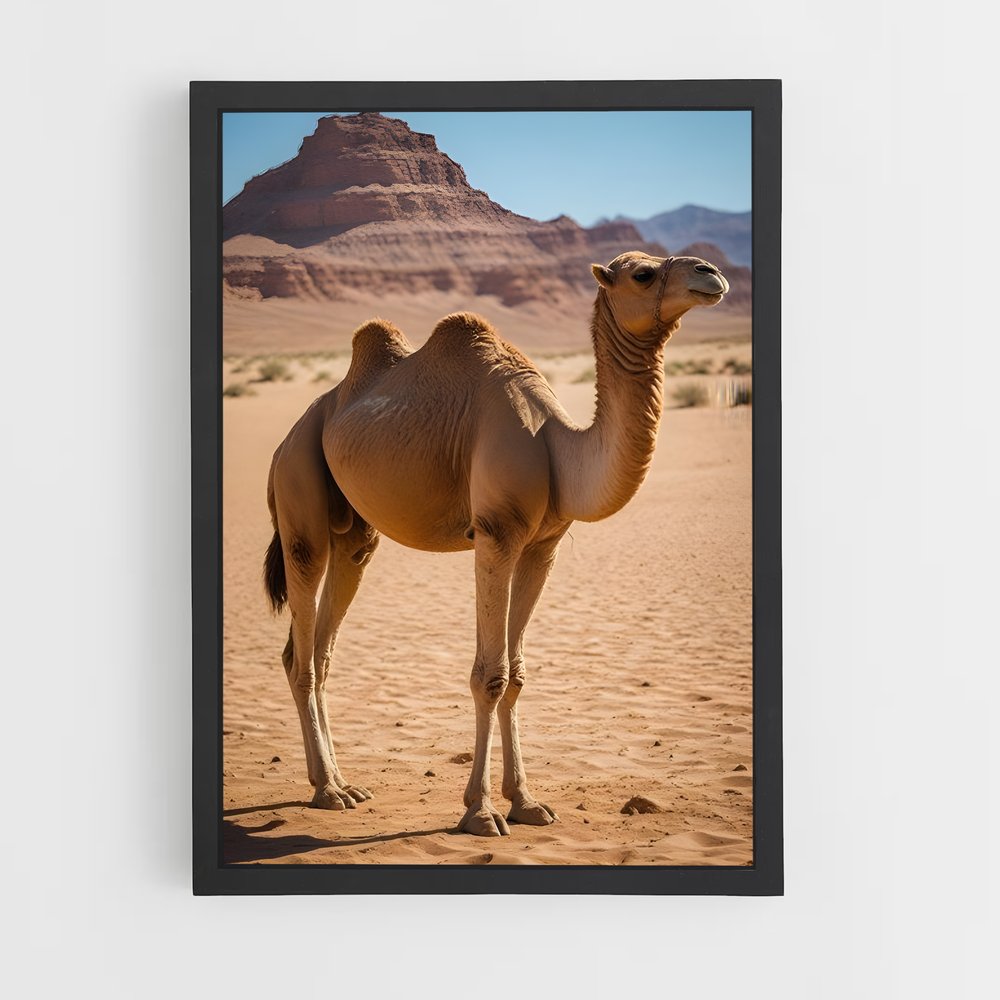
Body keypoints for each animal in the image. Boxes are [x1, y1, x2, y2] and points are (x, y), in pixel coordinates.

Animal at [263, 250, 729, 837]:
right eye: (642, 274)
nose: (710, 273)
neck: (555, 445)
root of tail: (284, 441)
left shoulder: (541, 547)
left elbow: (518, 677)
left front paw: (526, 802)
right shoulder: (494, 534)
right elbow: (490, 675)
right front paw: (479, 812)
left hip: (354, 532)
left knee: (316, 648)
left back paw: (341, 783)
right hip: (300, 489)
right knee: (303, 645)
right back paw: (328, 790)